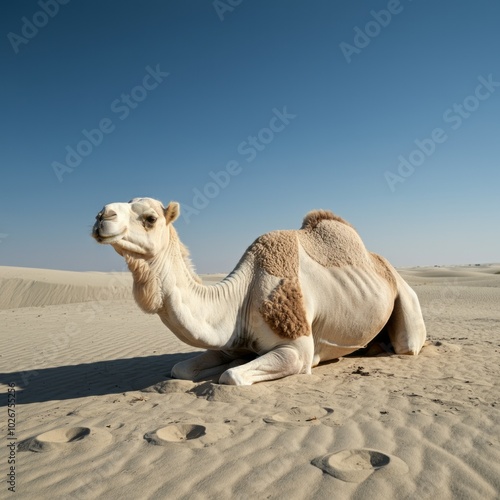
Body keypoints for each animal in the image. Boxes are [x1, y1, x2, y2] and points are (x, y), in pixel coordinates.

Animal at [91, 197, 426, 384]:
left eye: (150, 218)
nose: (101, 215)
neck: (241, 296)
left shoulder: (297, 349)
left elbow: (232, 376)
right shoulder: (227, 342)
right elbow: (180, 369)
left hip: (406, 302)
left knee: (407, 344)